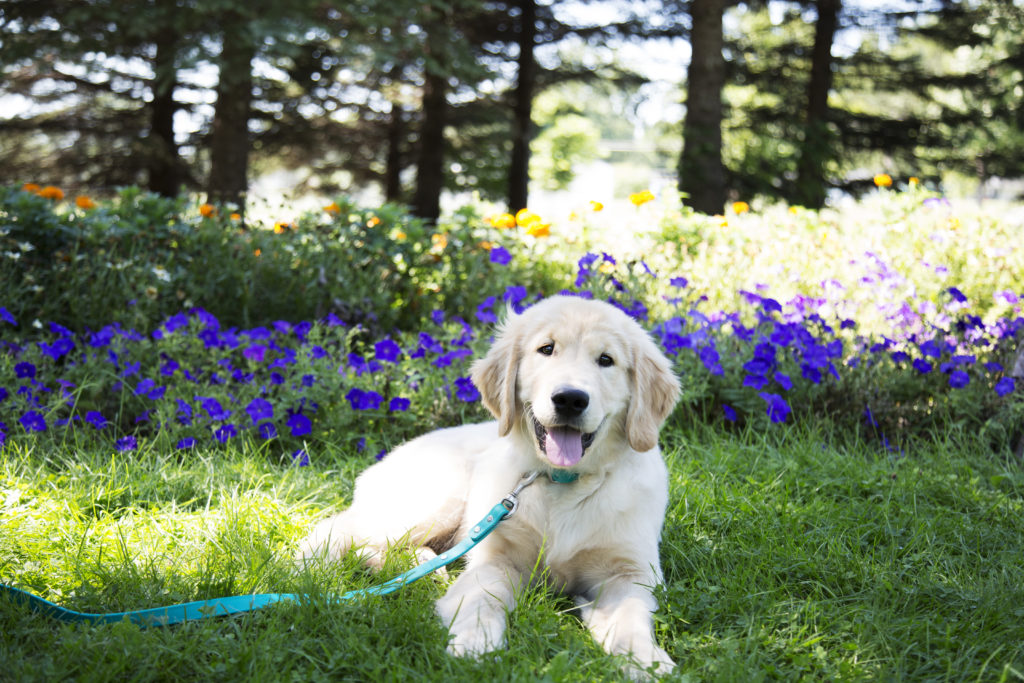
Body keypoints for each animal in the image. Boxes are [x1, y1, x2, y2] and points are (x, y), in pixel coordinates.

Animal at [296, 296, 679, 675]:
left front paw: (644, 660)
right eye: (546, 349)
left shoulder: (630, 571)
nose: (570, 399)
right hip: (438, 500)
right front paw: (475, 644)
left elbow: (629, 616)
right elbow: (481, 599)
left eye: (606, 360)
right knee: (340, 528)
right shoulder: (496, 560)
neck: (560, 482)